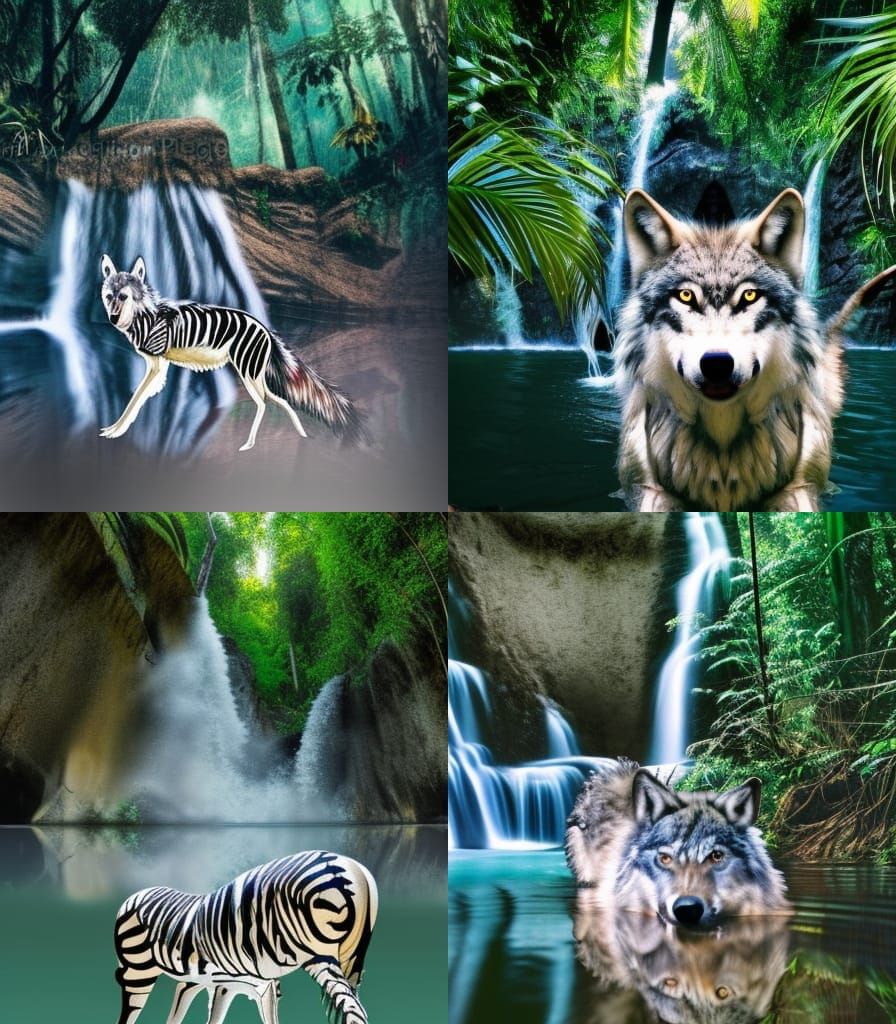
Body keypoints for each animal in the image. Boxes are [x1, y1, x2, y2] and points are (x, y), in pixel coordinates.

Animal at [99, 255, 363, 452]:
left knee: (263, 403)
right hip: (256, 375)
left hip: (248, 372)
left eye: (124, 296)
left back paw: (249, 444)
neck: (146, 317)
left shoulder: (157, 364)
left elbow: (136, 397)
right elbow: (140, 397)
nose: (112, 319)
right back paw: (302, 435)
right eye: (109, 296)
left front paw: (116, 430)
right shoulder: (158, 364)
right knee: (279, 400)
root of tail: (266, 329)